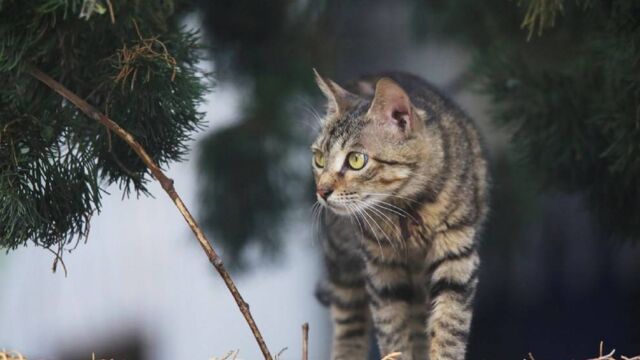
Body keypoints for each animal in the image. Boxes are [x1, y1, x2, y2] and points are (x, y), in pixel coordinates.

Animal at [312, 70, 488, 360]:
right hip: (343, 261)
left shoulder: (456, 256)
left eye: (356, 160)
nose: (322, 191)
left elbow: (449, 328)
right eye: (319, 159)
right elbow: (392, 333)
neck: (407, 207)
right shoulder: (381, 271)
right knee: (349, 324)